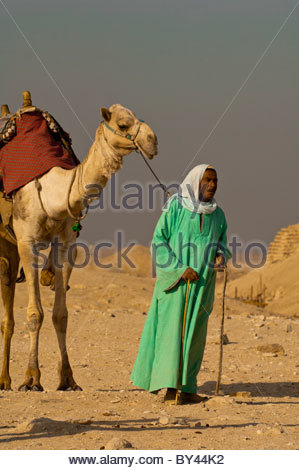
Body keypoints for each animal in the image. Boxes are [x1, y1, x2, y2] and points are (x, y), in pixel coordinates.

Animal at [0, 93, 158, 392]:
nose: (153, 141)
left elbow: (60, 315)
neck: (53, 191)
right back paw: (6, 380)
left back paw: (5, 379)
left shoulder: (64, 244)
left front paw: (68, 379)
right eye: (123, 124)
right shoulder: (27, 241)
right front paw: (31, 378)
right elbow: (34, 314)